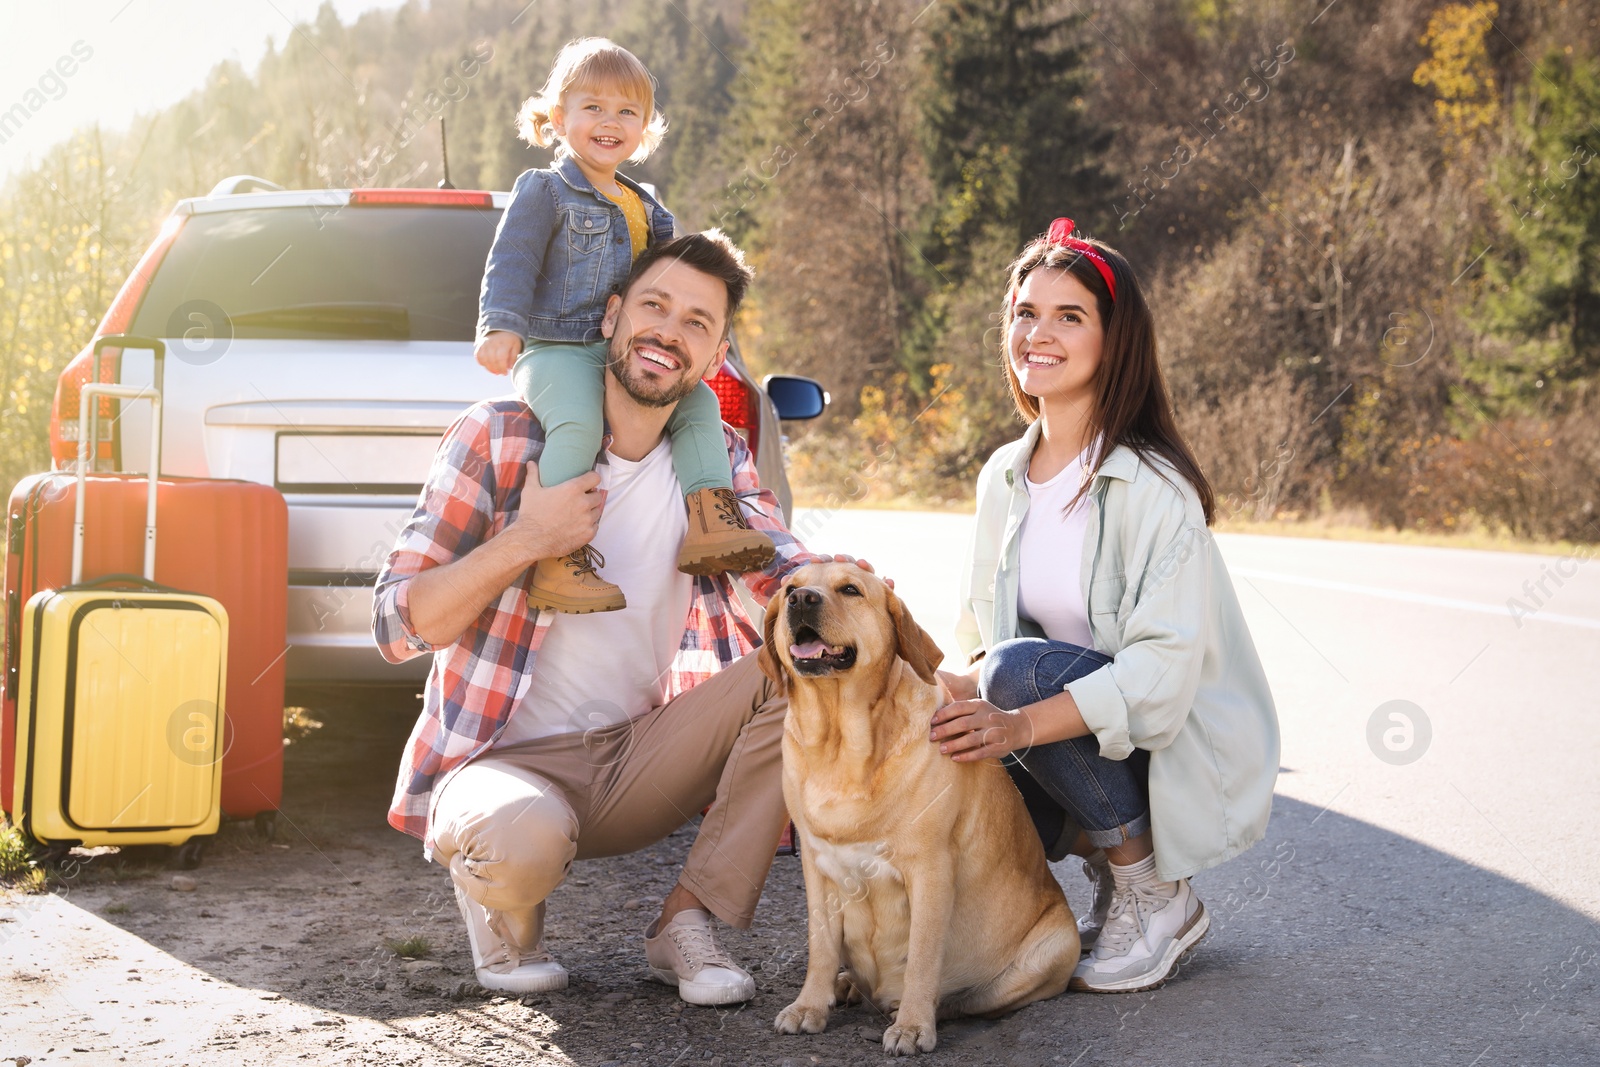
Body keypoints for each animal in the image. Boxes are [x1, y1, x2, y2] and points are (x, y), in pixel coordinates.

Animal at [758, 563, 1075, 1055]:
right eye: (790, 587)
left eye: (850, 589)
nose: (801, 600)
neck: (841, 746)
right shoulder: (815, 866)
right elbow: (821, 945)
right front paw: (809, 1005)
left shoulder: (930, 869)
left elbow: (924, 956)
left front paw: (911, 1025)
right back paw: (846, 986)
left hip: (1057, 947)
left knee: (966, 999)